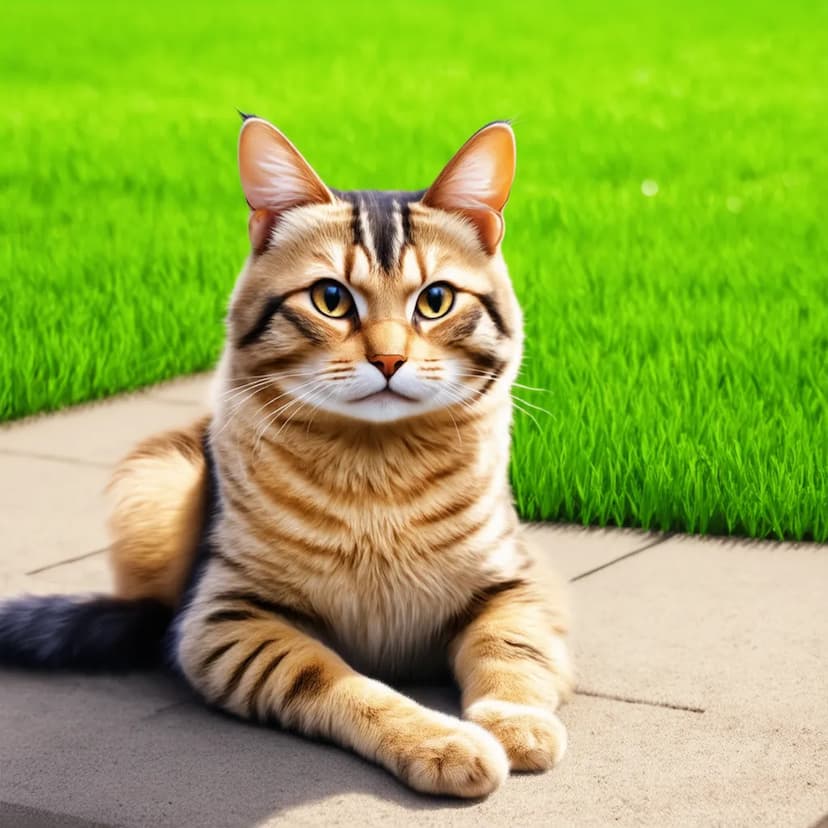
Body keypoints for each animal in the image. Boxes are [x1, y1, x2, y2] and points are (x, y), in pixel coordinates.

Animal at [0, 116, 568, 796]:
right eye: (330, 298)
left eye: (435, 301)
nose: (389, 359)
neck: (378, 472)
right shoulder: (228, 619)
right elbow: (346, 682)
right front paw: (443, 741)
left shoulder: (520, 584)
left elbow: (510, 651)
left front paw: (516, 724)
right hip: (156, 488)